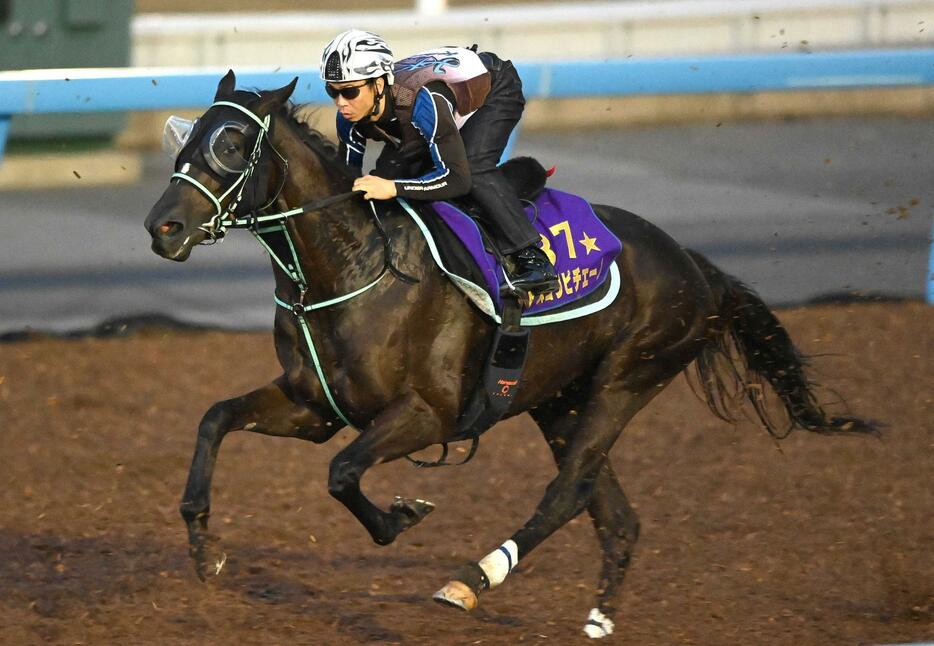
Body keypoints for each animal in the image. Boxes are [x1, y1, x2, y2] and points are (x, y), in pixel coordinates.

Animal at [143, 73, 872, 640]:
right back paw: (598, 618)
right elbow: (215, 418)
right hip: (557, 400)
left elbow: (343, 473)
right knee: (615, 515)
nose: (162, 228)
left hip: (628, 379)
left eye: (231, 145)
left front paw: (402, 515)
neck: (356, 264)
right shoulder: (314, 405)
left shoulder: (428, 414)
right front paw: (205, 550)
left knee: (569, 491)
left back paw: (471, 580)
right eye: (187, 137)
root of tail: (693, 264)